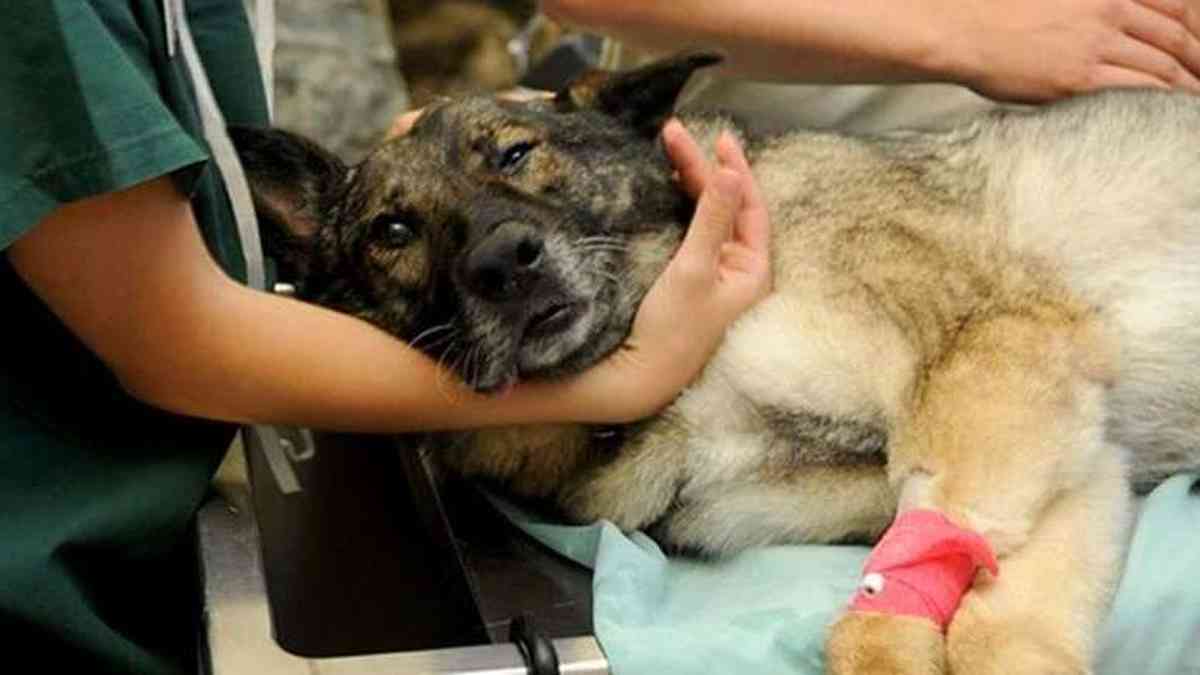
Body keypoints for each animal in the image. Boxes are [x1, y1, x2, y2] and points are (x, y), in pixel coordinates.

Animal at [231, 53, 1200, 672]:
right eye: (392, 229)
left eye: (514, 152)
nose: (505, 263)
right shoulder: (1069, 458)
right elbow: (993, 620)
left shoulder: (1001, 356)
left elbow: (917, 607)